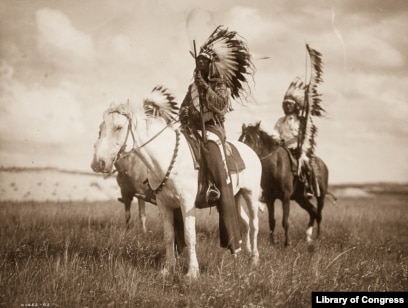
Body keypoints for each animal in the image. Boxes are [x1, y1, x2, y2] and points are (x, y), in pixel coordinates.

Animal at [91, 98, 262, 280]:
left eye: (119, 127)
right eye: (101, 128)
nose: (98, 163)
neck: (167, 159)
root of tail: (250, 151)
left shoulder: (187, 204)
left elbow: (189, 236)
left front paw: (192, 272)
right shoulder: (164, 204)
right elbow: (169, 236)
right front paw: (168, 268)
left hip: (250, 194)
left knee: (254, 224)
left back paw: (254, 259)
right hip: (235, 196)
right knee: (244, 222)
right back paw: (242, 254)